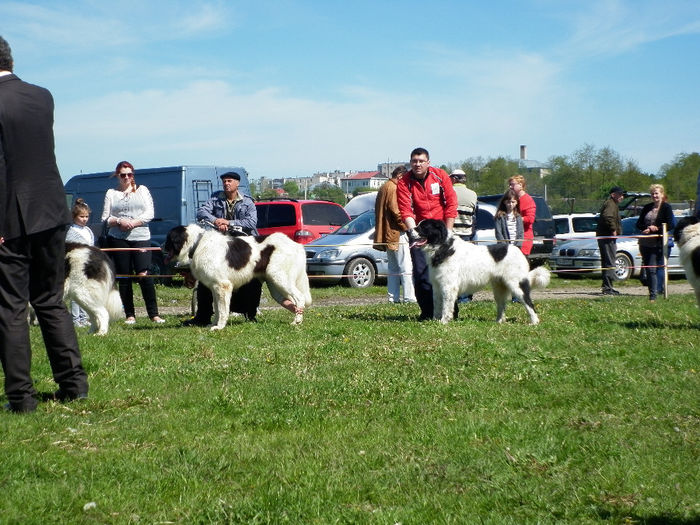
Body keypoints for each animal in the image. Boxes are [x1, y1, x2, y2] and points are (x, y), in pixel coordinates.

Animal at [164, 223, 312, 330]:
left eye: (168, 240)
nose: (161, 247)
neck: (198, 243)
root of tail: (298, 245)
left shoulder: (223, 285)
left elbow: (223, 310)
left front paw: (219, 327)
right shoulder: (215, 287)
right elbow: (217, 308)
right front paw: (213, 324)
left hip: (279, 277)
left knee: (300, 298)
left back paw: (296, 321)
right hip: (276, 284)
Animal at [412, 217, 548, 324]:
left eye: (423, 227)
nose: (409, 231)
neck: (442, 246)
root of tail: (519, 251)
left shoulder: (448, 286)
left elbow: (446, 306)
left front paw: (443, 321)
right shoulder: (437, 285)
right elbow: (437, 304)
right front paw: (435, 320)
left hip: (516, 284)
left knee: (528, 302)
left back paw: (534, 322)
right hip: (499, 286)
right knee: (502, 304)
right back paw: (499, 321)